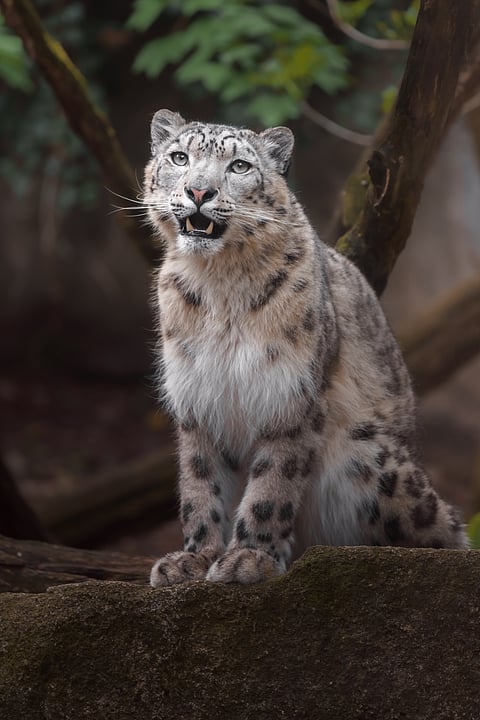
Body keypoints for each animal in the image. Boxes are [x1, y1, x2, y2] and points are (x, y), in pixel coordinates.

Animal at [143, 109, 468, 586]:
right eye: (179, 157)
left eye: (239, 166)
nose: (199, 191)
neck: (219, 283)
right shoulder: (197, 395)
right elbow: (200, 483)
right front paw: (193, 559)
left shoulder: (290, 392)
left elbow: (273, 482)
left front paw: (248, 558)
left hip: (369, 455)